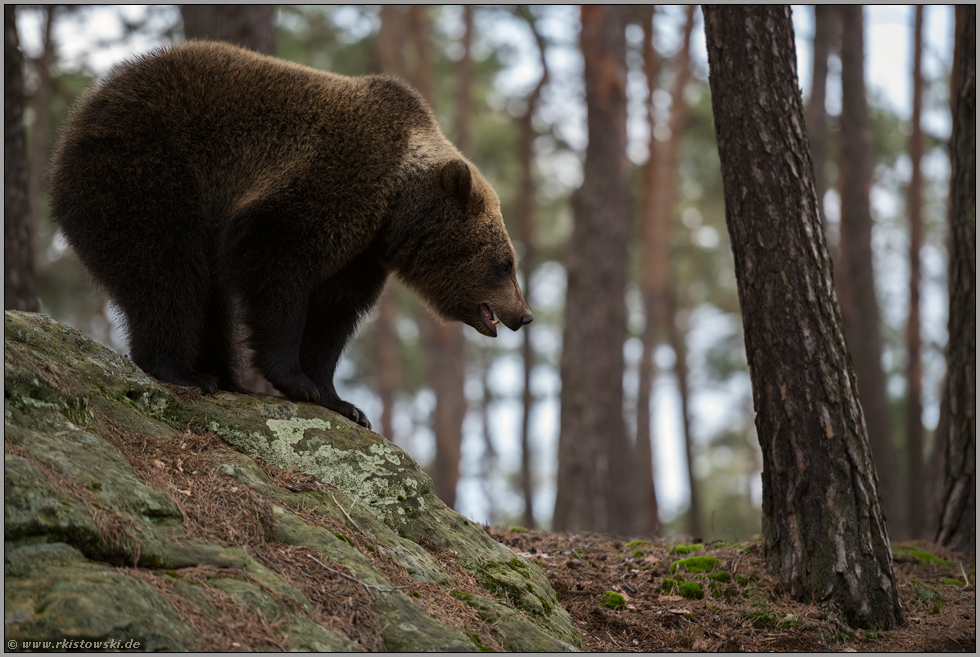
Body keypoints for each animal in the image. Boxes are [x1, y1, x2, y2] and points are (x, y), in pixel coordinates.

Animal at [49, 42, 532, 430]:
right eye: (505, 263)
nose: (524, 315)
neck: (394, 204)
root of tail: (81, 112)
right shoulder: (329, 186)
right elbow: (276, 267)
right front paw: (296, 381)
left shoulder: (359, 253)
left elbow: (331, 315)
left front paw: (342, 402)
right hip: (149, 174)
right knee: (166, 273)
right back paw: (184, 373)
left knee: (205, 297)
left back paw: (226, 377)